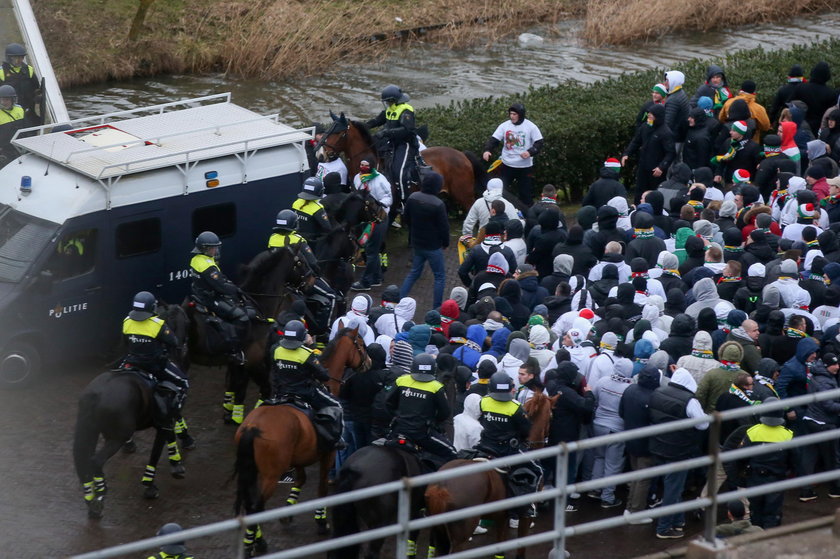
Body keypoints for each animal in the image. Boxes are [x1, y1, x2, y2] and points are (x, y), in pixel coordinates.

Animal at [72, 302, 190, 520]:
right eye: (186, 320)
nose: (184, 347)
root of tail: (95, 394)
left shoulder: (164, 419)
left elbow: (169, 436)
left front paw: (175, 462)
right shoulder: (165, 419)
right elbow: (156, 452)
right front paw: (150, 485)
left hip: (91, 431)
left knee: (84, 463)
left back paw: (91, 500)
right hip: (116, 436)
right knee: (95, 461)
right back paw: (100, 494)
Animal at [185, 246, 316, 424]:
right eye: (300, 262)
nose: (312, 281)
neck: (258, 306)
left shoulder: (239, 364)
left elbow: (236, 386)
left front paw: (230, 414)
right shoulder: (253, 362)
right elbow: (263, 388)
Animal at [233, 328, 370, 556]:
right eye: (360, 343)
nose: (368, 362)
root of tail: (253, 427)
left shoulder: (300, 456)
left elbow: (300, 480)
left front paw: (288, 512)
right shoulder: (328, 453)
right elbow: (322, 488)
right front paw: (321, 521)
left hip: (251, 471)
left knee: (249, 506)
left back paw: (254, 540)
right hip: (270, 475)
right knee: (256, 507)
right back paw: (255, 544)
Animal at [426, 390, 556, 559]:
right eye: (551, 416)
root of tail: (441, 487)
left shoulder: (501, 516)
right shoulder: (525, 516)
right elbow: (520, 549)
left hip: (438, 531)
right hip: (461, 537)